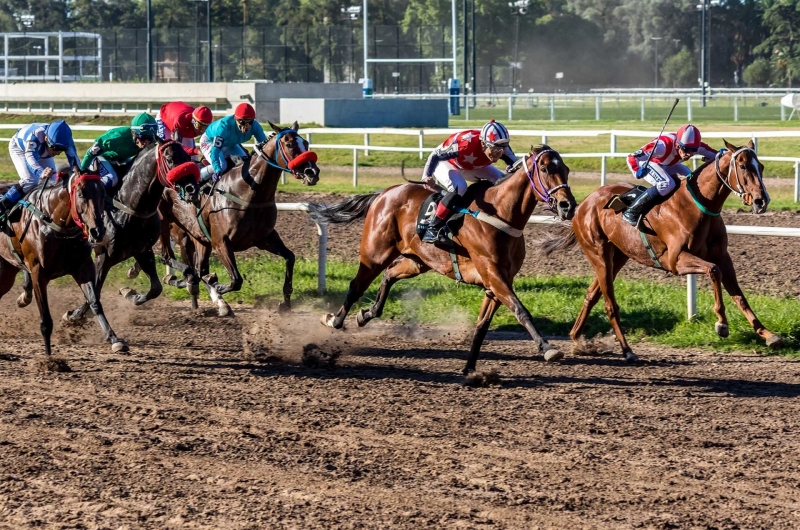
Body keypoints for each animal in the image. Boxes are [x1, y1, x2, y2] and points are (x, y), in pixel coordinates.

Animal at [0, 170, 126, 354]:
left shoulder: (83, 268)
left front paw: (114, 339)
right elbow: (45, 318)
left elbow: (94, 302)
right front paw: (48, 355)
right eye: (81, 194)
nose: (98, 231)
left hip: (7, 272)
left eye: (103, 193)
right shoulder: (38, 273)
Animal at [48, 138, 200, 322]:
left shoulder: (142, 250)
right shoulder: (103, 255)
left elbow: (156, 288)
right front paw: (75, 314)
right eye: (170, 159)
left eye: (187, 156)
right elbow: (95, 290)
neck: (129, 207)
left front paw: (131, 294)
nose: (193, 188)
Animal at [156, 120, 318, 314]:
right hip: (171, 228)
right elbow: (236, 280)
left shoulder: (265, 238)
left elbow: (290, 258)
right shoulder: (221, 243)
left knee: (199, 268)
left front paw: (285, 303)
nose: (312, 172)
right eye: (290, 144)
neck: (247, 192)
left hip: (199, 239)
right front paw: (217, 285)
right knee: (170, 257)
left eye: (306, 143)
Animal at [310, 146, 580, 374]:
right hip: (374, 253)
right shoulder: (493, 274)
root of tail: (384, 193)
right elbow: (521, 311)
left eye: (566, 170)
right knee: (356, 286)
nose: (568, 206)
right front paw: (548, 348)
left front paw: (469, 368)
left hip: (417, 261)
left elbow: (482, 324)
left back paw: (367, 314)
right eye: (544, 169)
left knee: (390, 274)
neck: (500, 215)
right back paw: (334, 320)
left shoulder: (498, 282)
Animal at [540, 138, 784, 358]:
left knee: (592, 294)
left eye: (761, 166)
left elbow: (739, 295)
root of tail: (583, 204)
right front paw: (722, 324)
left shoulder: (723, 257)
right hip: (598, 254)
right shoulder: (676, 260)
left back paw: (577, 338)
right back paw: (627, 350)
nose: (762, 200)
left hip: (618, 256)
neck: (698, 206)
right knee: (609, 303)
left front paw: (767, 334)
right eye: (742, 166)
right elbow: (713, 271)